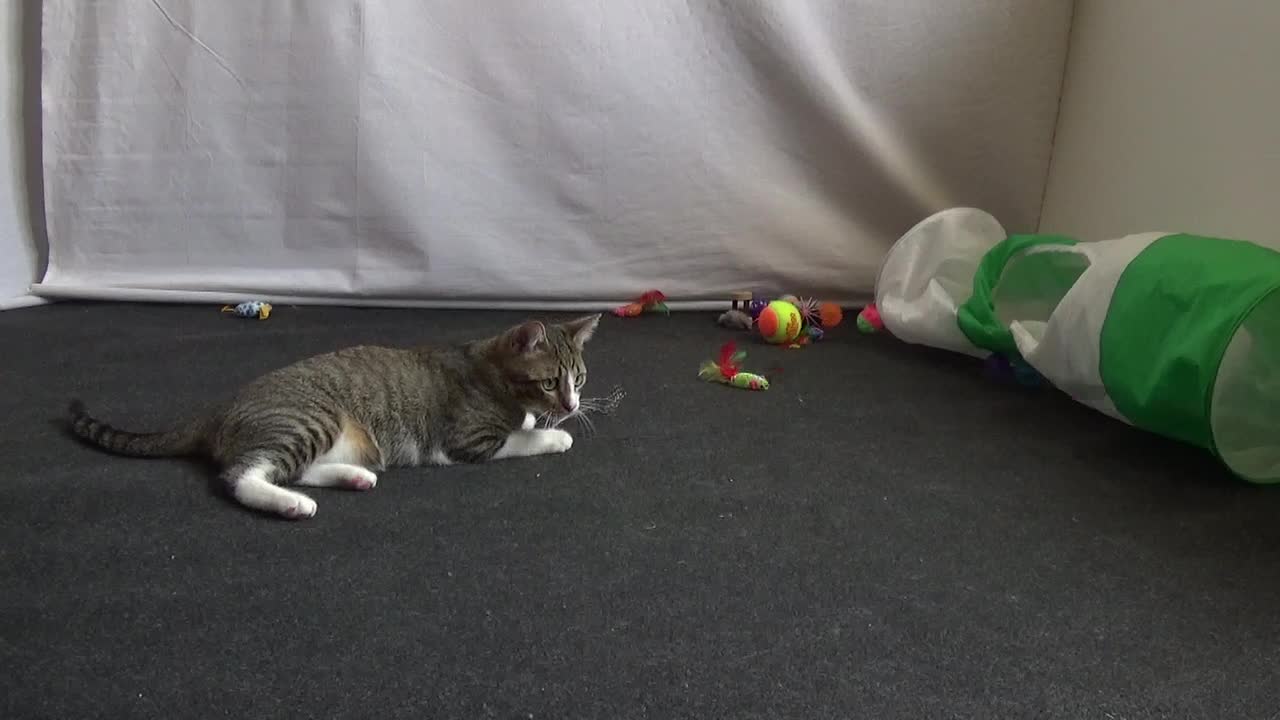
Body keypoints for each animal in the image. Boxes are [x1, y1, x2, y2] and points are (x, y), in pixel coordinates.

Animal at [62, 313, 596, 515]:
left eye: (580, 379)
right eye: (550, 382)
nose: (571, 406)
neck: (485, 365)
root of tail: (221, 407)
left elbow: (525, 424)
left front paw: (543, 422)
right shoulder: (469, 439)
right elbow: (522, 437)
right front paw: (554, 434)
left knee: (291, 469)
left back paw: (352, 476)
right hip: (310, 418)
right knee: (240, 475)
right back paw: (291, 504)